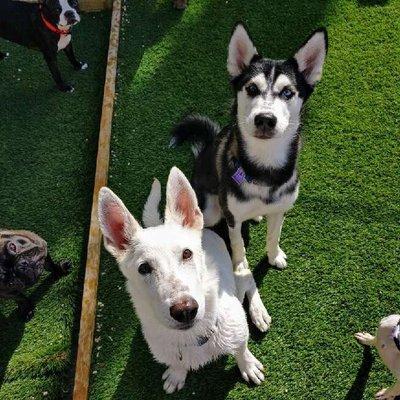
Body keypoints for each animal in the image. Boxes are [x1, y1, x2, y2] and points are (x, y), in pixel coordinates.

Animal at [98, 166, 264, 394]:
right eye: (144, 268)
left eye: (187, 253)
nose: (184, 310)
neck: (193, 337)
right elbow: (177, 363)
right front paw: (177, 374)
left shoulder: (238, 331)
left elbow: (241, 348)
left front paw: (247, 365)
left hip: (237, 279)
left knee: (248, 278)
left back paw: (259, 313)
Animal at [170, 24, 328, 332]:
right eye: (252, 88)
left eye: (288, 92)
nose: (265, 119)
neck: (265, 171)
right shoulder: (231, 219)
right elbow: (240, 255)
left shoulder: (280, 210)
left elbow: (273, 236)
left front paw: (274, 255)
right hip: (212, 212)